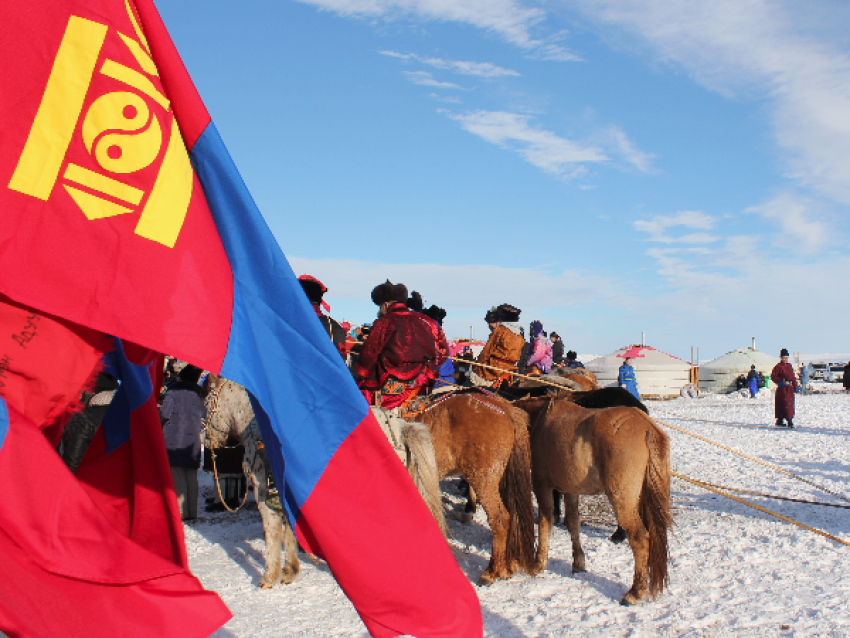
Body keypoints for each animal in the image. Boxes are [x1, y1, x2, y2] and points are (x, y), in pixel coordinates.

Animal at [510, 398, 668, 608]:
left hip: (623, 501)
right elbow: (573, 523)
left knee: (640, 539)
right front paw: (578, 562)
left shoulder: (542, 485)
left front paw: (538, 563)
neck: (539, 420)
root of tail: (647, 428)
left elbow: (545, 522)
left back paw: (635, 592)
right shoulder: (570, 489)